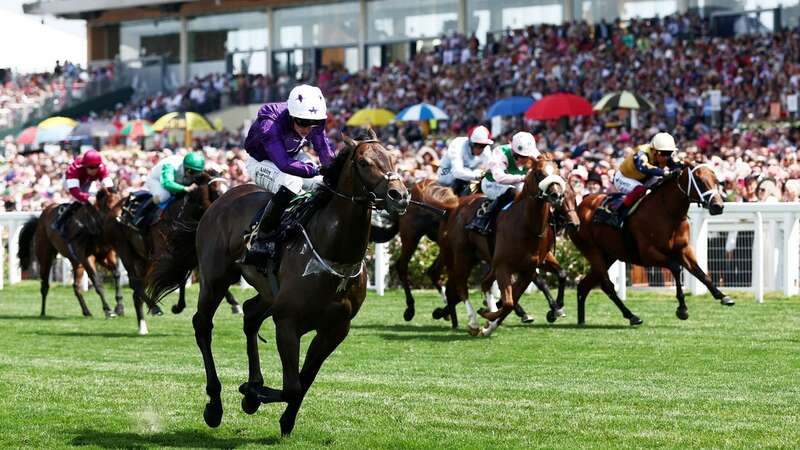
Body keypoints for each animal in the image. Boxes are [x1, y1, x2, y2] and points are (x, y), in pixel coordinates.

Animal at [16, 188, 126, 318]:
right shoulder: (87, 258)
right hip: (45, 257)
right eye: (109, 206)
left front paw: (119, 307)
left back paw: (86, 311)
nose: (121, 221)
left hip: (76, 263)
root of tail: (40, 218)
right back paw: (42, 313)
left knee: (76, 287)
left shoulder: (106, 255)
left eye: (122, 204)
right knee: (45, 285)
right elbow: (97, 282)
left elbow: (117, 274)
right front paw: (108, 310)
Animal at [144, 130, 410, 436]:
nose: (400, 195)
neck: (332, 253)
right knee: (203, 325)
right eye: (365, 162)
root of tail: (220, 200)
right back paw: (214, 404)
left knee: (250, 314)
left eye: (392, 157)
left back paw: (253, 381)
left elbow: (304, 381)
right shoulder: (287, 322)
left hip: (267, 293)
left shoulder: (335, 329)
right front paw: (251, 394)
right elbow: (292, 386)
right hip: (215, 279)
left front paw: (275, 411)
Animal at [434, 155, 580, 334]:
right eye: (539, 173)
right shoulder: (504, 266)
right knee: (461, 285)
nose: (556, 195)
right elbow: (509, 301)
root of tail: (453, 207)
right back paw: (472, 322)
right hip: (461, 256)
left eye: (558, 173)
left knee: (482, 284)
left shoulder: (529, 268)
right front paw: (487, 316)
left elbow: (513, 298)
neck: (527, 226)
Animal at [568, 163, 732, 326]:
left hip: (608, 255)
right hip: (592, 250)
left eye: (716, 181)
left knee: (584, 285)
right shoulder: (648, 254)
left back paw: (581, 321)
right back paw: (632, 316)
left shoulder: (684, 250)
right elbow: (676, 268)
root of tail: (581, 204)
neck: (668, 212)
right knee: (607, 286)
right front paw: (682, 309)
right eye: (699, 180)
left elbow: (701, 273)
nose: (718, 206)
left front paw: (723, 296)